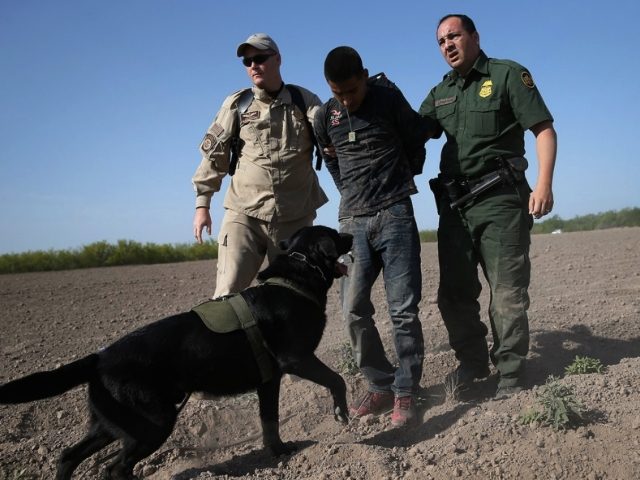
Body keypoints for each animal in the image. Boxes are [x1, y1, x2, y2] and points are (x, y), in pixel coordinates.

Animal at [0, 226, 350, 480]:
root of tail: (99, 357)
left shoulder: (269, 382)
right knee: (115, 468)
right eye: (334, 234)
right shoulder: (297, 359)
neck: (293, 280)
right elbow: (337, 380)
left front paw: (280, 452)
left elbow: (270, 422)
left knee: (69, 456)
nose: (349, 234)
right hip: (153, 422)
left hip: (111, 424)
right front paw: (341, 413)